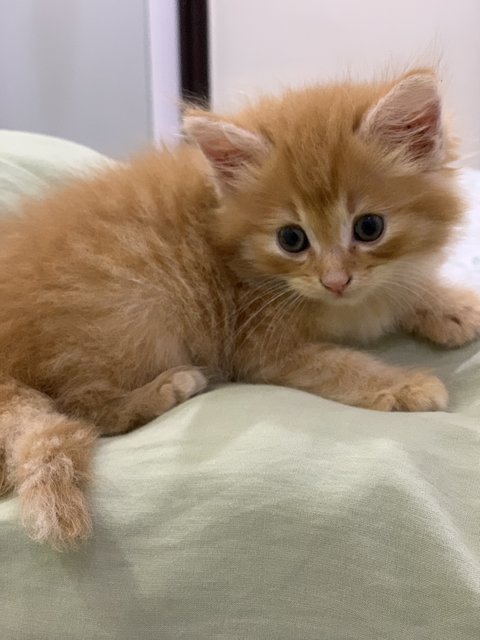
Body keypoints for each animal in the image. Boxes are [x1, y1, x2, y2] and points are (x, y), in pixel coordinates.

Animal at [0, 71, 480, 552]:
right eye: (291, 239)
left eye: (369, 227)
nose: (335, 281)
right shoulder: (261, 344)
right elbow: (341, 365)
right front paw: (404, 385)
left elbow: (408, 288)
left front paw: (454, 307)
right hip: (133, 313)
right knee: (87, 405)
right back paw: (167, 388)